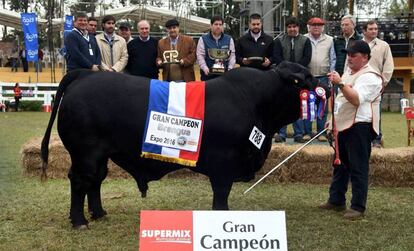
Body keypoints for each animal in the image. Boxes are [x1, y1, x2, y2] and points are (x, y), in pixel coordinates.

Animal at [41, 60, 326, 227]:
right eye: (308, 78)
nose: (325, 85)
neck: (256, 101)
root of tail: (83, 75)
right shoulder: (224, 164)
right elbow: (221, 195)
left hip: (99, 154)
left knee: (96, 180)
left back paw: (99, 213)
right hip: (85, 152)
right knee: (82, 180)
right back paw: (80, 221)